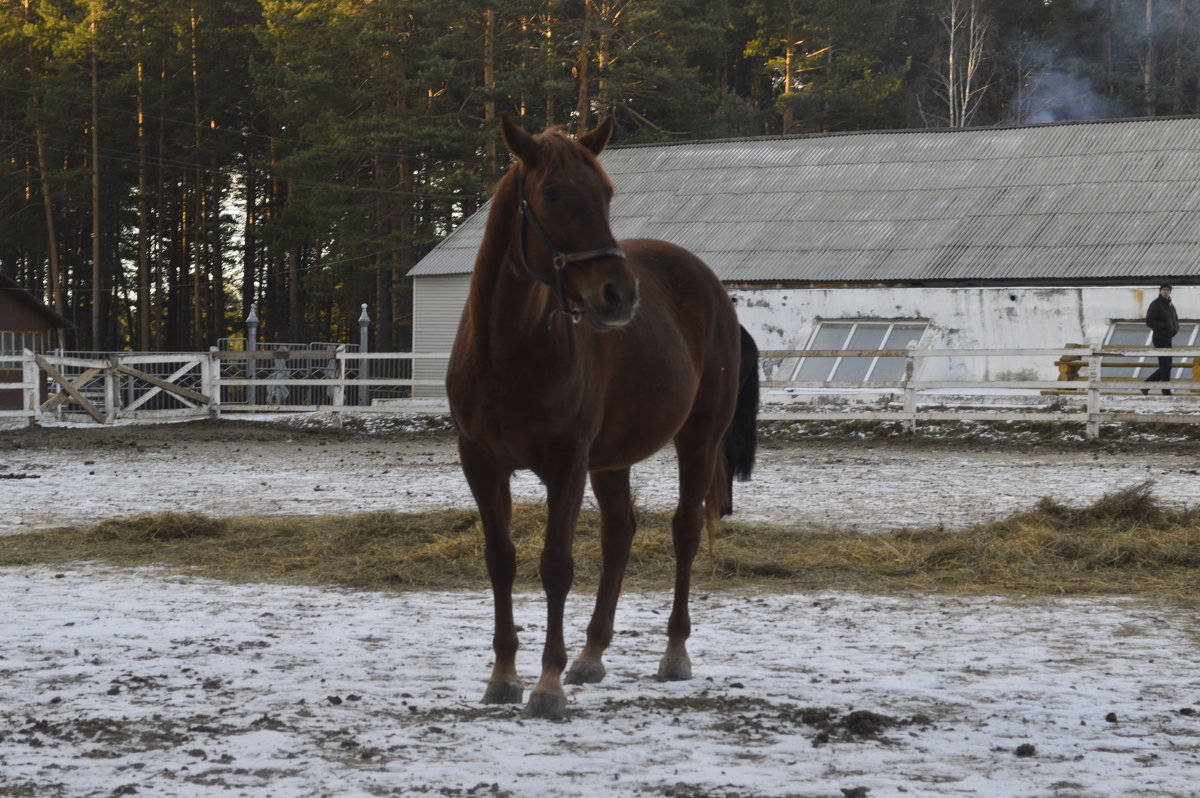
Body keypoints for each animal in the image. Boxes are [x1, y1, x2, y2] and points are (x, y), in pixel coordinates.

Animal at [446, 115, 753, 720]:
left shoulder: (566, 464)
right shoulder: (482, 463)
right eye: (551, 194)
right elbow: (501, 559)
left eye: (607, 193)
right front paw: (503, 676)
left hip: (698, 439)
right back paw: (591, 655)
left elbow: (556, 566)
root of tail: (708, 283)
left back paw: (674, 653)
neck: (506, 351)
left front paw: (546, 686)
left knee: (684, 531)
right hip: (611, 460)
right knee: (620, 534)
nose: (618, 295)